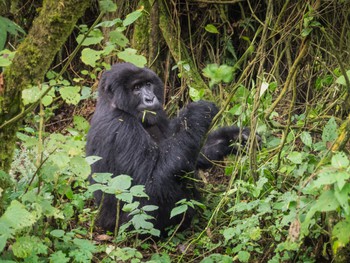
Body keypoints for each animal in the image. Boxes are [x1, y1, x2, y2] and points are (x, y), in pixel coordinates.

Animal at [86, 63, 253, 236]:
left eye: (148, 84)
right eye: (136, 88)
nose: (150, 98)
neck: (112, 103)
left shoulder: (158, 115)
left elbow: (190, 152)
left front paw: (234, 137)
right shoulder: (121, 127)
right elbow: (151, 183)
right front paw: (198, 112)